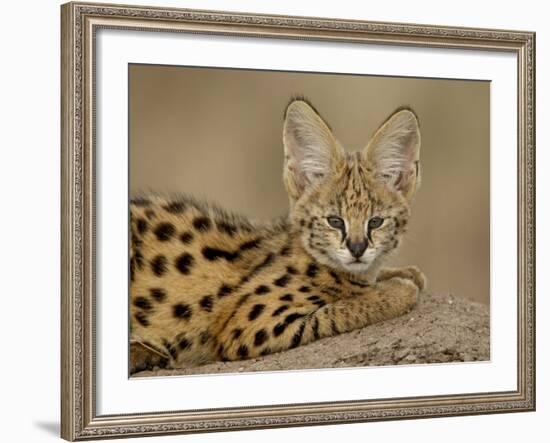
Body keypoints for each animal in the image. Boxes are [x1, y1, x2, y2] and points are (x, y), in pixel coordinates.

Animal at [129, 98, 426, 374]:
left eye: (375, 222)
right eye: (334, 221)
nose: (357, 248)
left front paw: (405, 273)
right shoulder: (249, 326)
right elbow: (341, 309)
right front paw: (397, 290)